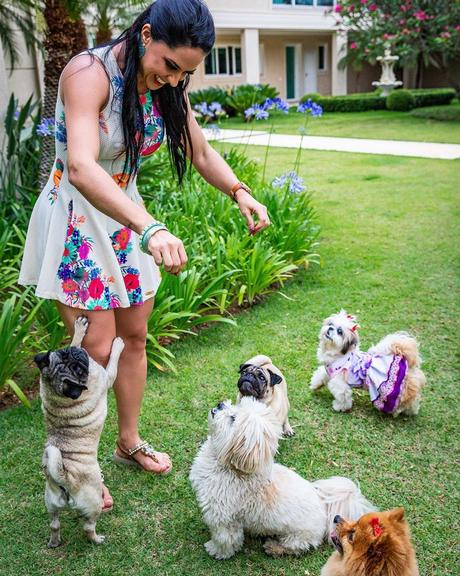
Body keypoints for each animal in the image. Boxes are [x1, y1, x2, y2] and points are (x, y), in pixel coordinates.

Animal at [189, 396, 376, 560]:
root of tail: (325, 509)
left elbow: (225, 540)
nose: (220, 404)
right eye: (236, 405)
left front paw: (216, 551)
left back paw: (273, 547)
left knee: (293, 548)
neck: (231, 467)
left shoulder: (224, 518)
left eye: (233, 418)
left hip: (296, 537)